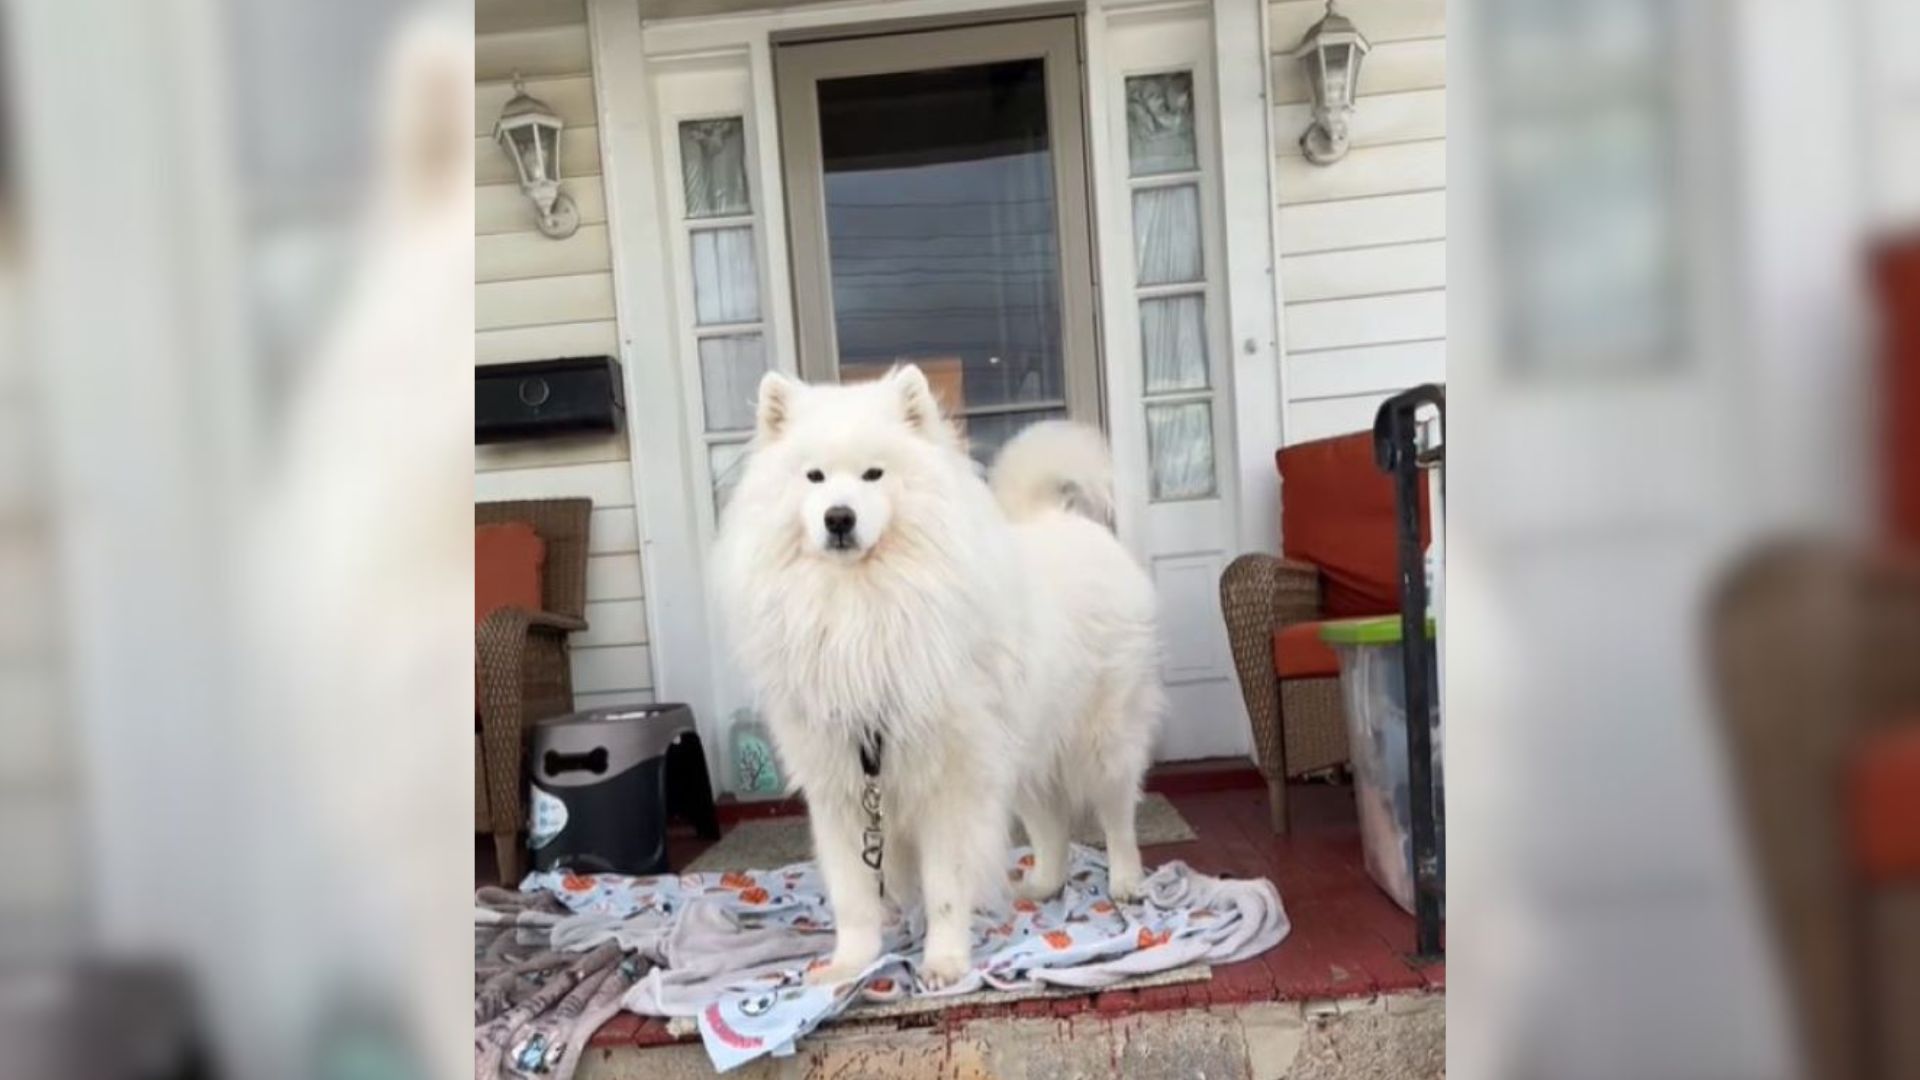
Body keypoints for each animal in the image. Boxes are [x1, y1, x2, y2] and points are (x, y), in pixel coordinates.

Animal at [714, 363, 1152, 983]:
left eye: (873, 474)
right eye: (814, 477)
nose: (839, 517)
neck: (860, 606)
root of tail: (1060, 518)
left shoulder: (950, 783)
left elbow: (945, 885)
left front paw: (944, 962)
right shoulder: (843, 790)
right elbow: (856, 894)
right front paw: (849, 965)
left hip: (1103, 739)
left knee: (1117, 815)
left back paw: (1127, 882)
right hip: (1022, 748)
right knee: (1051, 823)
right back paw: (1042, 885)